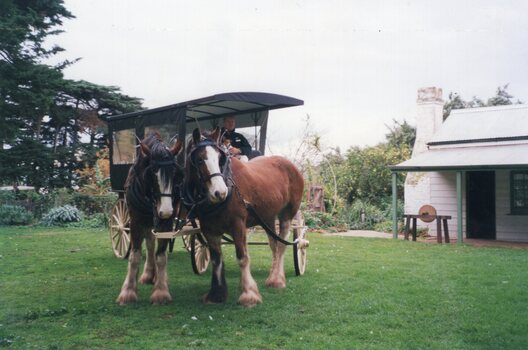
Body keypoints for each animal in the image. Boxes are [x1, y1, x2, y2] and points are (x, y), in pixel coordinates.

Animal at [116, 131, 183, 304]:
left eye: (176, 173)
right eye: (152, 172)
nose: (165, 211)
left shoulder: (166, 223)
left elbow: (161, 256)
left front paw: (161, 291)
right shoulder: (135, 221)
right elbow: (135, 255)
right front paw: (128, 292)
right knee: (149, 243)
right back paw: (148, 274)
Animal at [183, 128, 304, 306]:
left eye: (219, 158)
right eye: (199, 159)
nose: (220, 192)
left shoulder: (238, 225)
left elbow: (243, 257)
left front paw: (249, 294)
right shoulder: (209, 230)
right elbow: (216, 260)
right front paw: (216, 294)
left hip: (287, 215)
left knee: (282, 245)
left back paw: (277, 279)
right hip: (267, 217)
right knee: (274, 245)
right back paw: (272, 276)